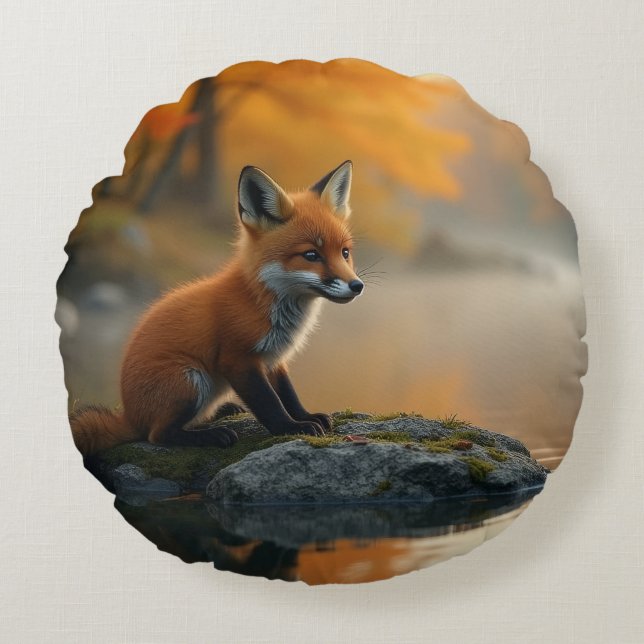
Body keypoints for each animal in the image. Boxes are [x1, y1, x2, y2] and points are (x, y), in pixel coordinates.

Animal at [70, 160, 364, 456]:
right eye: (311, 255)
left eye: (345, 253)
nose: (357, 286)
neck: (260, 301)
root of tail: (129, 416)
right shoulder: (238, 359)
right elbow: (269, 403)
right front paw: (291, 428)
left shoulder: (274, 359)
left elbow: (288, 394)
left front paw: (305, 416)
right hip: (191, 380)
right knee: (158, 434)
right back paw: (210, 435)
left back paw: (223, 411)